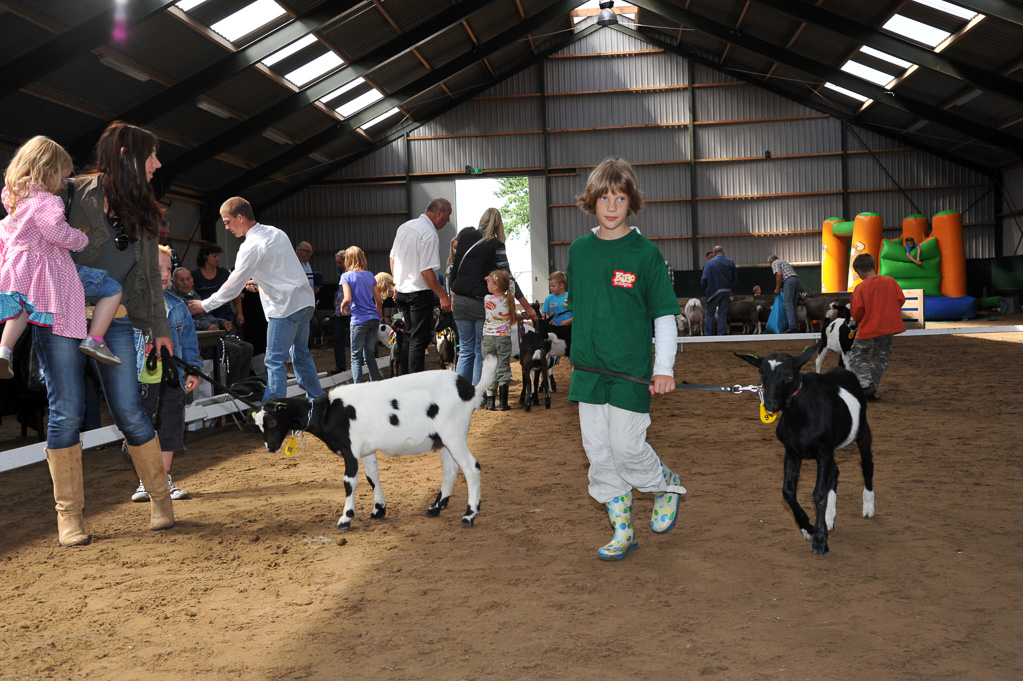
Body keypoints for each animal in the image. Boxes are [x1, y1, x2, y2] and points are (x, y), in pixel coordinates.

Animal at [253, 351, 497, 531]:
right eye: (259, 425)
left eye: (272, 421)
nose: (269, 447)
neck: (327, 412)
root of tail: (470, 389)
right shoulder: (366, 450)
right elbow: (372, 477)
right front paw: (379, 509)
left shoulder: (350, 449)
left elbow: (349, 482)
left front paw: (345, 518)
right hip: (443, 439)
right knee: (451, 470)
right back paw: (436, 507)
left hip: (453, 433)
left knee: (471, 467)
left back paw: (469, 515)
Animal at [732, 341, 875, 556]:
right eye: (762, 375)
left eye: (789, 376)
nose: (770, 405)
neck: (801, 414)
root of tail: (844, 371)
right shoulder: (792, 451)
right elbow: (788, 492)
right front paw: (808, 528)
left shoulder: (823, 451)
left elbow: (819, 493)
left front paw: (820, 541)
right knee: (835, 472)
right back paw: (829, 517)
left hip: (861, 430)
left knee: (867, 463)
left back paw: (868, 506)